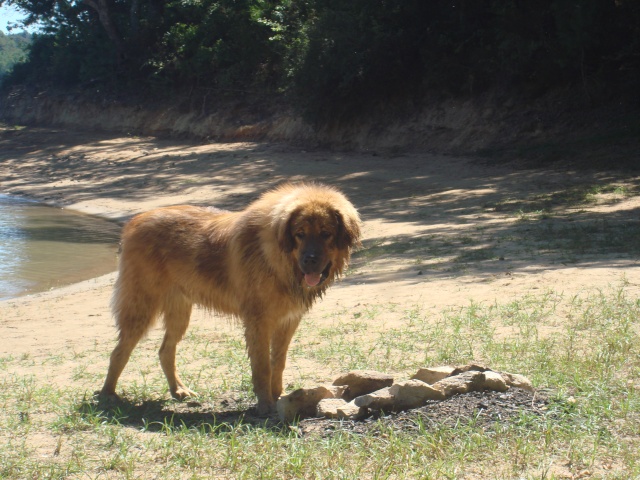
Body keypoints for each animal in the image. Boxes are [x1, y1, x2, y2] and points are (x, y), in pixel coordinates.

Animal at [99, 182, 360, 414]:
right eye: (299, 234)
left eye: (326, 234)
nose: (309, 260)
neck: (278, 259)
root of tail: (133, 222)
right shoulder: (258, 322)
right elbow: (262, 367)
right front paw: (265, 405)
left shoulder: (288, 321)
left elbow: (278, 362)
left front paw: (278, 395)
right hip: (140, 307)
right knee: (119, 352)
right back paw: (107, 395)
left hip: (179, 312)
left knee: (165, 351)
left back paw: (178, 390)